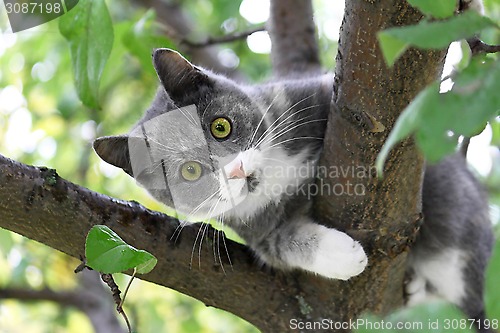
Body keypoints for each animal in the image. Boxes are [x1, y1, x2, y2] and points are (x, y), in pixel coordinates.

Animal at [93, 48, 492, 324]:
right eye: (190, 172)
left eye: (220, 126)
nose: (236, 170)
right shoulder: (257, 229)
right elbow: (283, 244)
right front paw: (346, 256)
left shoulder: (309, 95)